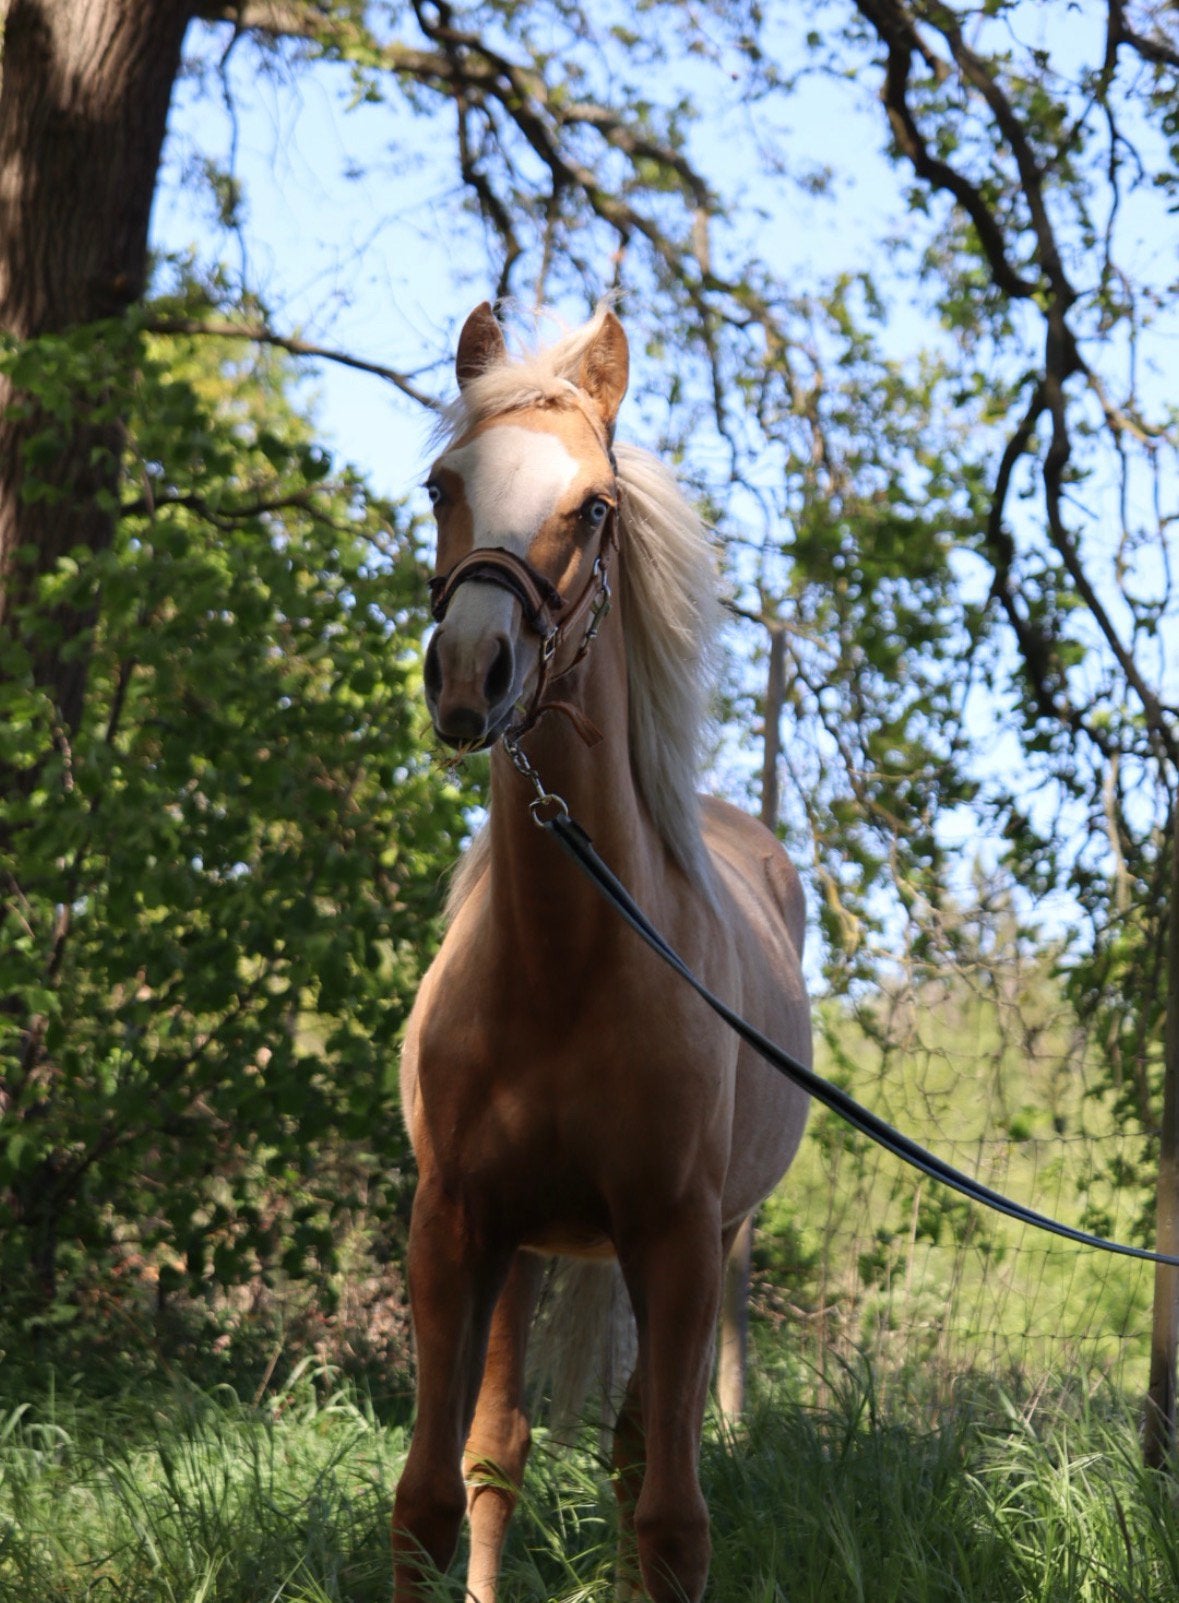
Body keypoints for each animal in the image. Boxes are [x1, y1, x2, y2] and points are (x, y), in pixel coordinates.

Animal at [393, 302, 812, 1603]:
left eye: (593, 507)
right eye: (442, 484)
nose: (470, 673)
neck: (566, 968)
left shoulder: (671, 1238)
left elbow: (670, 1517)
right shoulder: (456, 1222)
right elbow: (434, 1494)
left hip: (701, 1246)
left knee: (639, 1456)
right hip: (530, 1245)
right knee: (501, 1450)